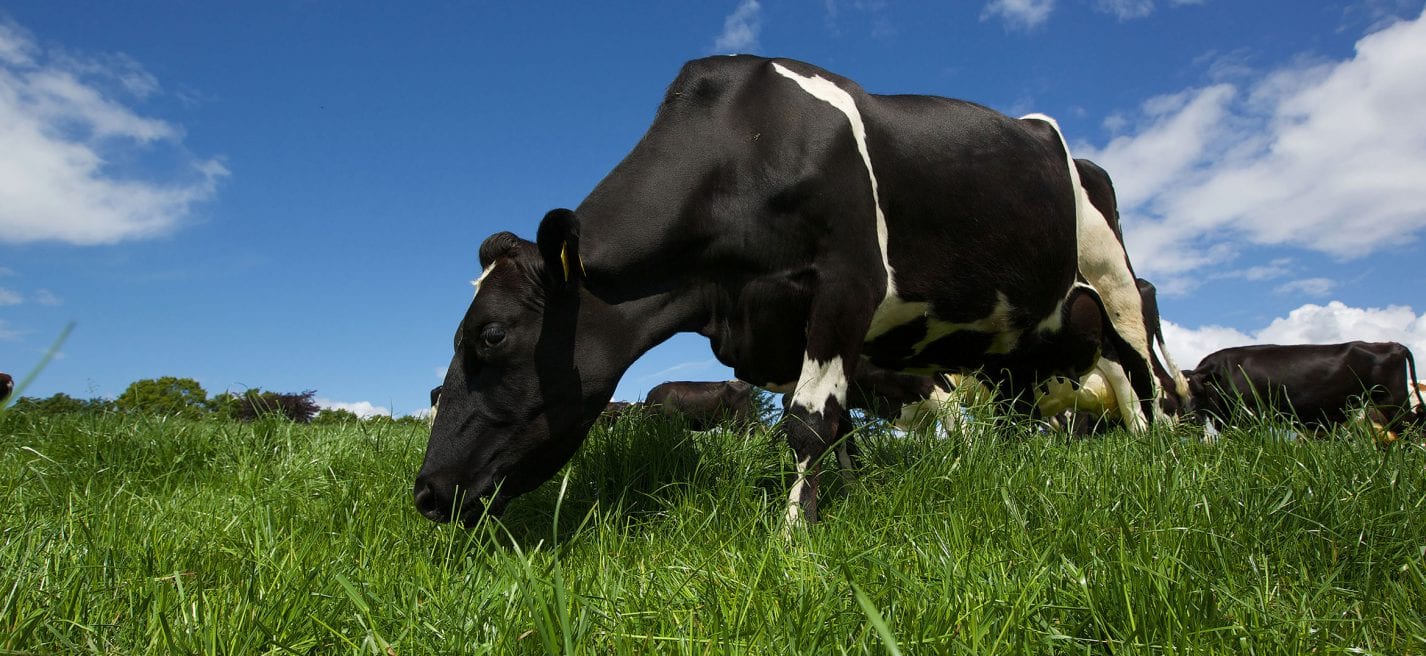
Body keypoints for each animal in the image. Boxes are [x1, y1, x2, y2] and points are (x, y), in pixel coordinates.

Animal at [414, 55, 1157, 527]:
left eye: (490, 335)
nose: (424, 493)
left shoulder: (845, 287)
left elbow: (807, 423)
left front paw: (796, 537)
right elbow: (838, 427)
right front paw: (841, 499)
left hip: (1113, 282)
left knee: (1140, 374)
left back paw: (1162, 457)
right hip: (1024, 338)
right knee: (1039, 398)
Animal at [1184, 341, 1426, 442]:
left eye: (1196, 390)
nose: (1188, 419)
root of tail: (1393, 345)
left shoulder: (1246, 418)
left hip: (1393, 402)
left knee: (1414, 430)